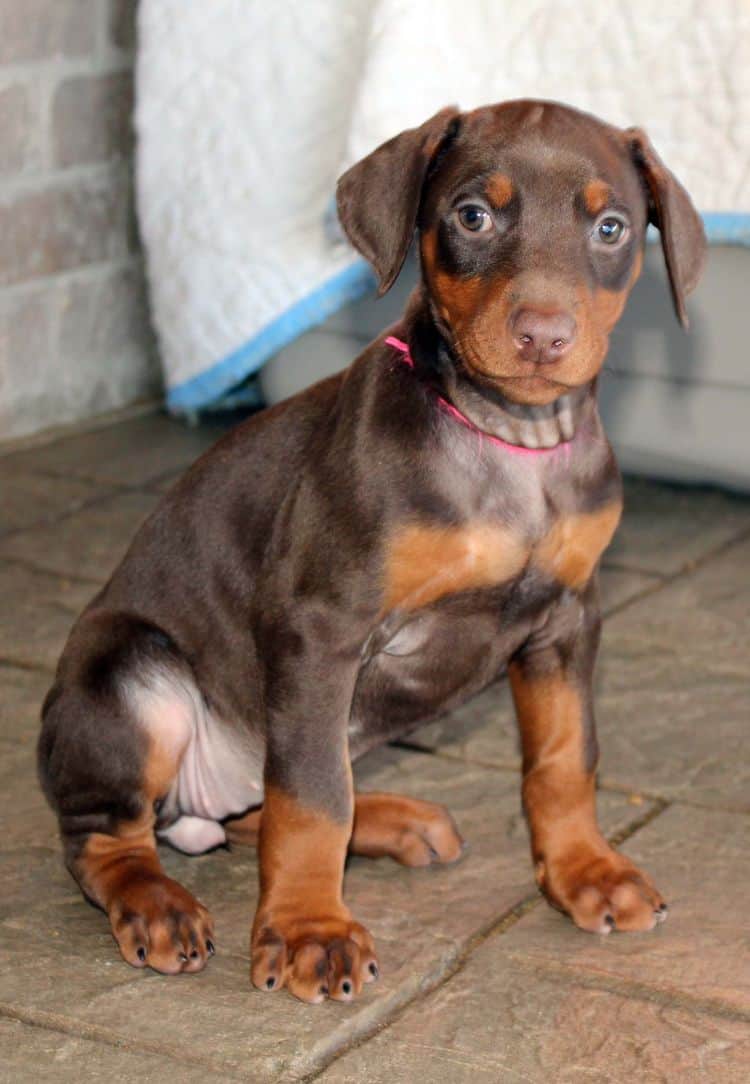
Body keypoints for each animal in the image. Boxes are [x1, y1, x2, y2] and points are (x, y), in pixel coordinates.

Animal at [38, 99, 706, 997]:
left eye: (611, 227)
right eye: (472, 215)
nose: (543, 336)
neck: (510, 441)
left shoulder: (568, 620)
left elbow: (565, 759)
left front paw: (585, 872)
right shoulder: (322, 625)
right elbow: (315, 797)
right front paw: (308, 930)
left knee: (259, 804)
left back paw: (392, 820)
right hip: (133, 676)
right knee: (111, 835)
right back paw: (157, 903)